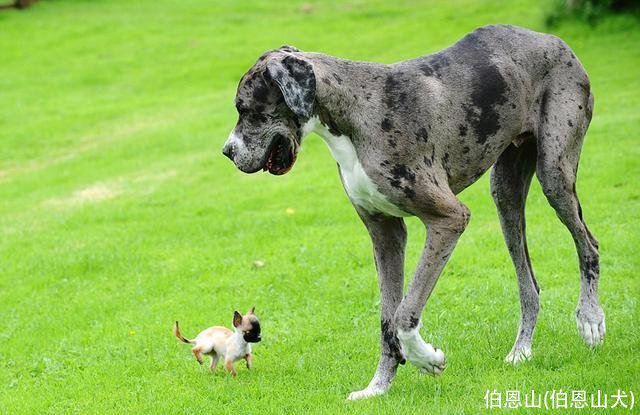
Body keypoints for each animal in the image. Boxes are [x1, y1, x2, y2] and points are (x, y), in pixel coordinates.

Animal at [222, 25, 604, 400]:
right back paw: (522, 351)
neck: (352, 115)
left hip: (554, 175)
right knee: (530, 286)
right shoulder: (385, 232)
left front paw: (427, 358)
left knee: (588, 245)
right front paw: (378, 387)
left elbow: (405, 313)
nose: (227, 152)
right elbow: (386, 318)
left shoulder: (449, 218)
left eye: (246, 108)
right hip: (505, 196)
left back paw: (590, 318)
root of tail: (554, 40)